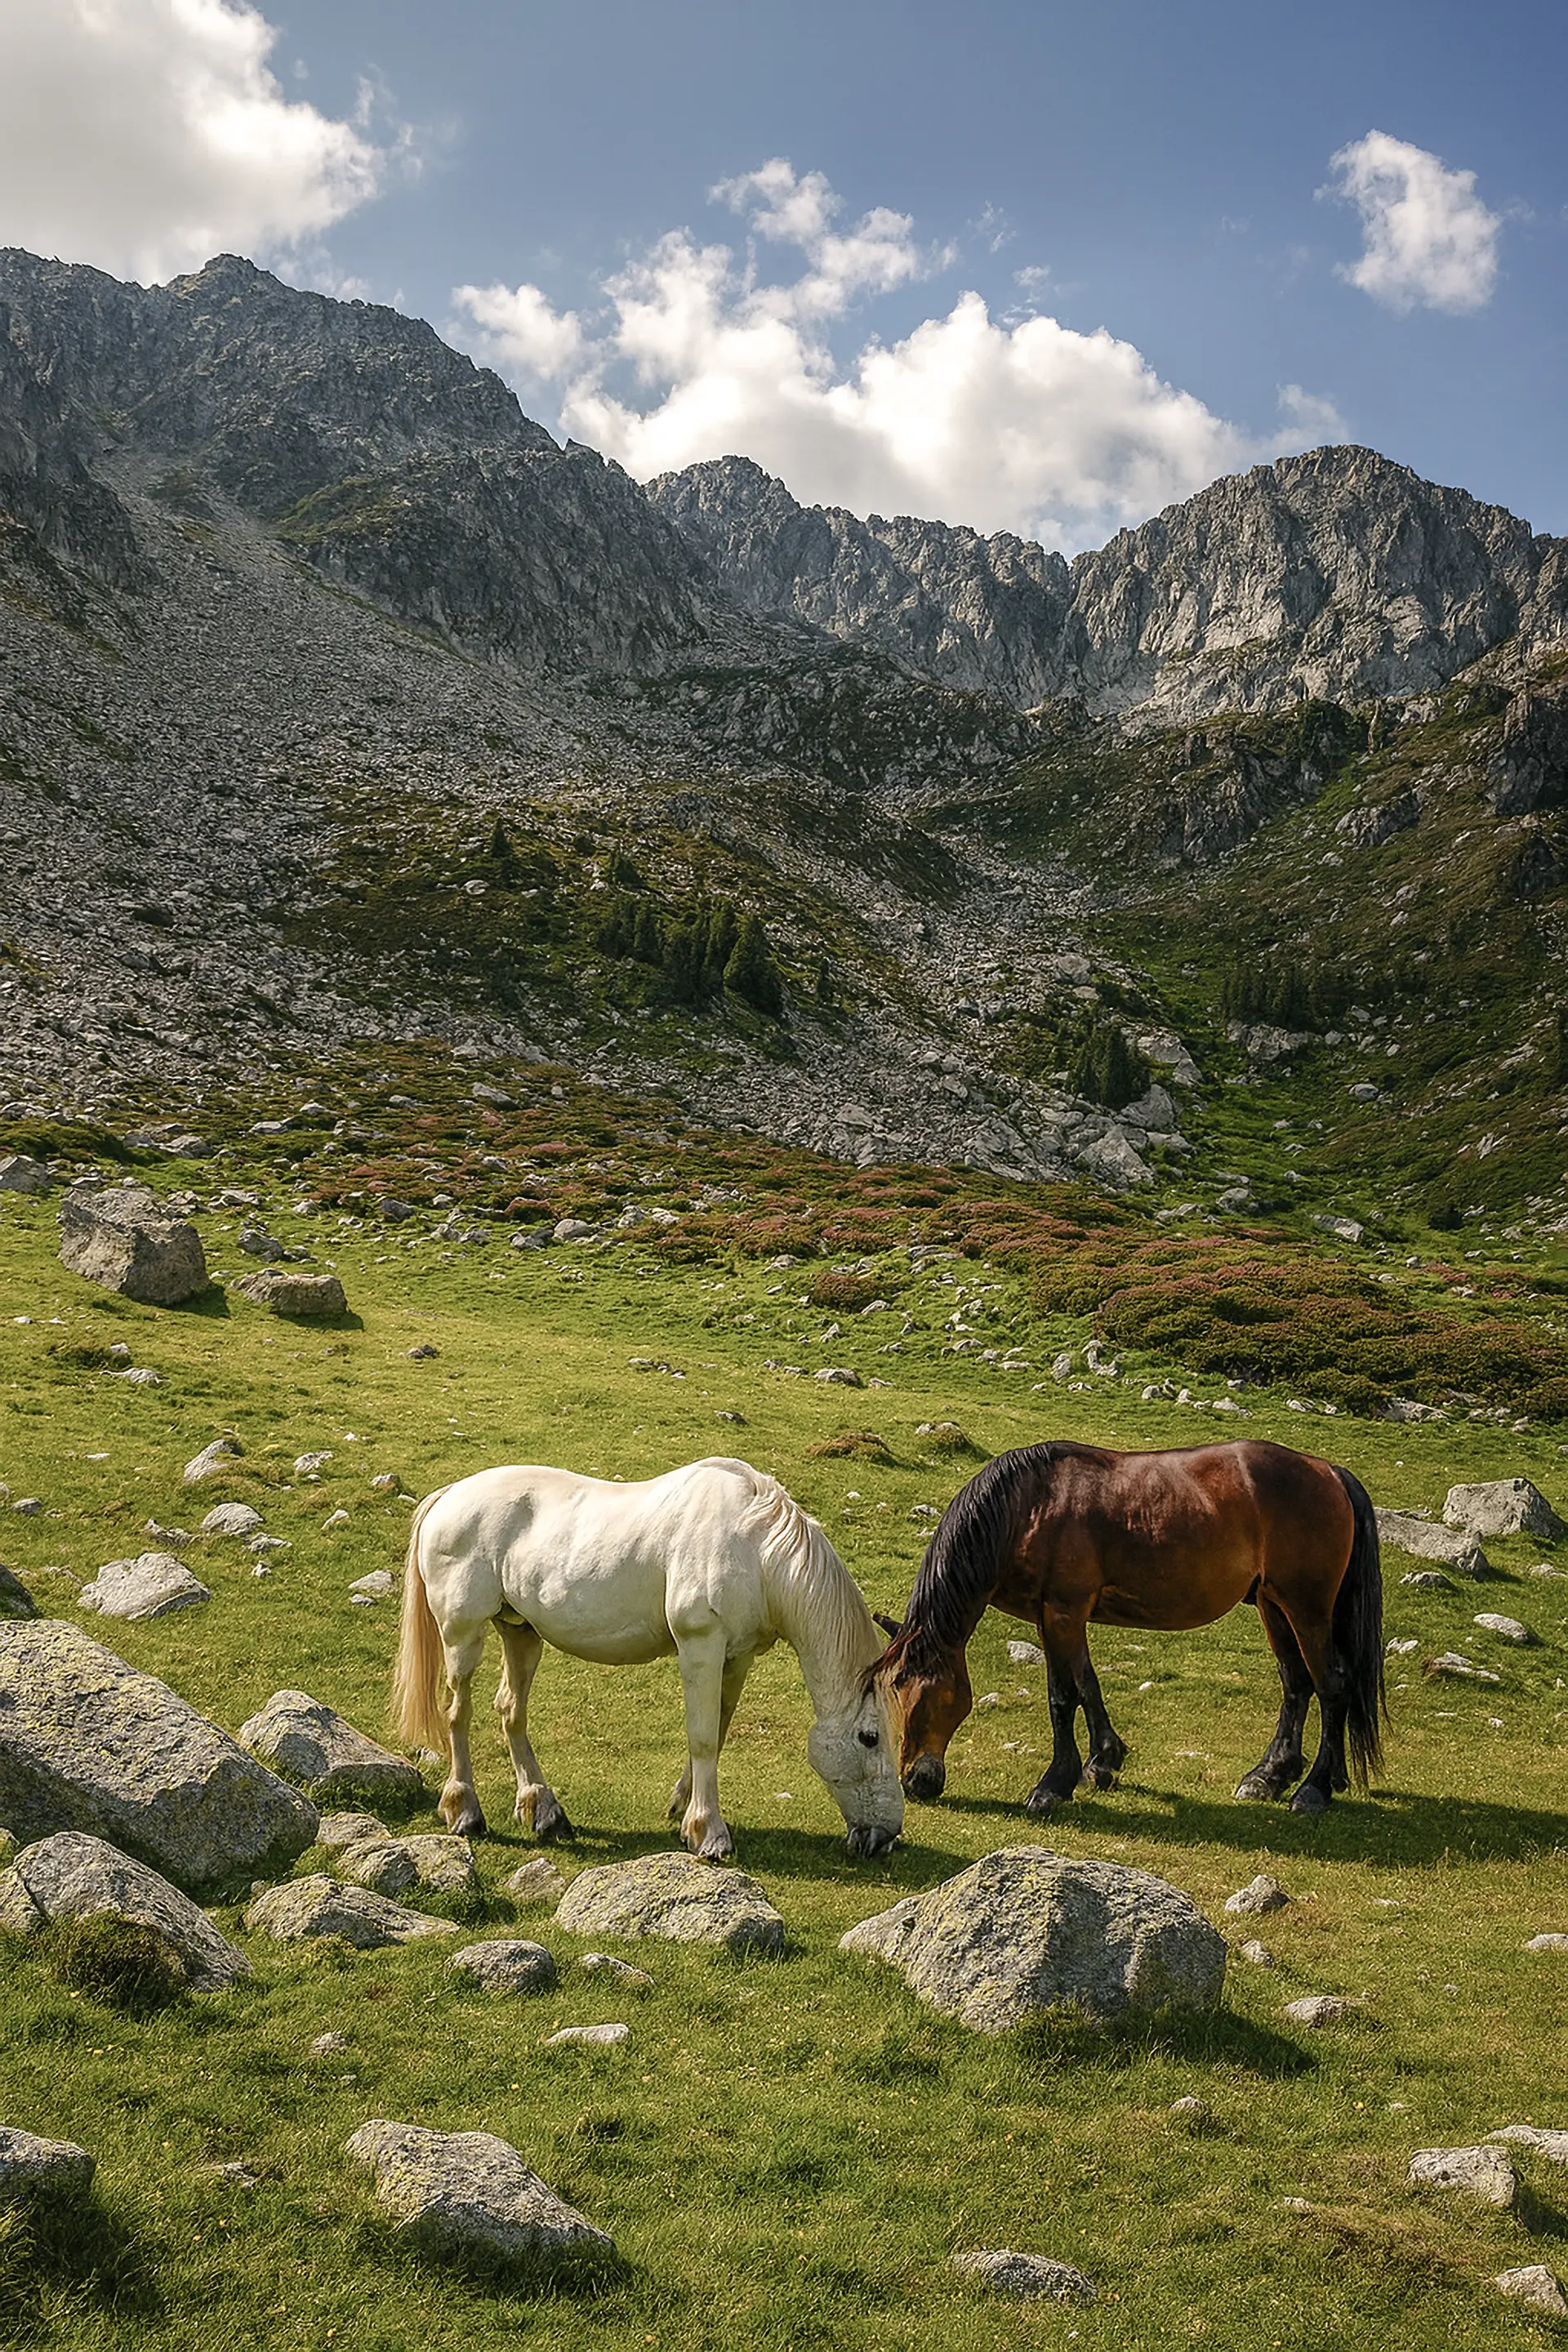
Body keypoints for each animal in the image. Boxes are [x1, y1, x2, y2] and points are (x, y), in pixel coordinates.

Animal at [392, 1455, 904, 1861]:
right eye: (870, 1738)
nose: (887, 1835)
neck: (756, 1548)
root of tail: (450, 1494)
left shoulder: (737, 1657)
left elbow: (718, 1731)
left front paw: (684, 1810)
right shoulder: (701, 1645)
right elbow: (702, 1736)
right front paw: (709, 1833)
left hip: (521, 1633)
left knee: (510, 1710)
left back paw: (544, 1810)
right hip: (462, 1633)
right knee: (458, 1713)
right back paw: (464, 1812)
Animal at [874, 1438, 1384, 1818]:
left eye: (919, 1690)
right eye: (895, 1687)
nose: (915, 1781)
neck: (1027, 1508)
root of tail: (1329, 1471)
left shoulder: (1062, 1611)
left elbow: (1063, 1696)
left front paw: (1054, 1784)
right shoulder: (1058, 1616)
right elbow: (1087, 1685)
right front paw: (1103, 1761)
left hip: (1306, 1608)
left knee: (1332, 1685)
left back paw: (1314, 1788)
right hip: (1273, 1605)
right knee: (1297, 1684)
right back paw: (1272, 1775)